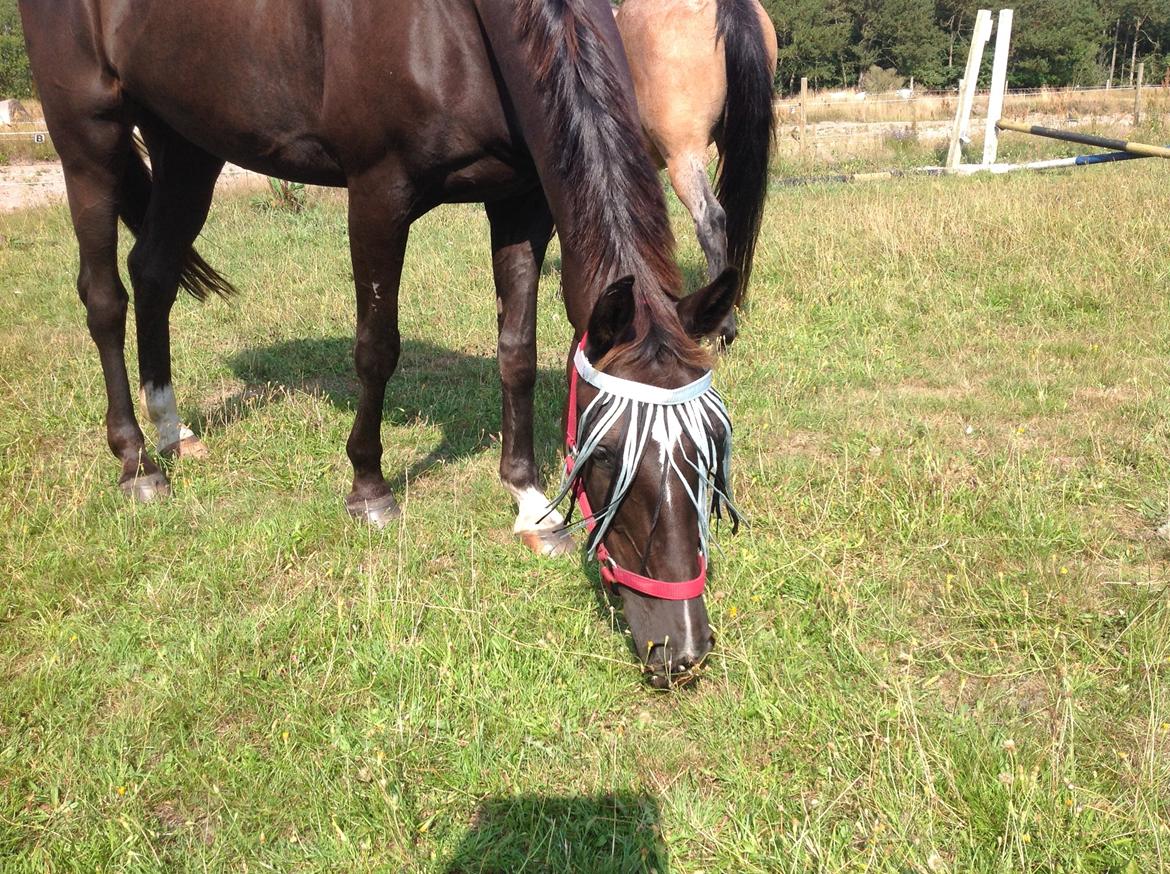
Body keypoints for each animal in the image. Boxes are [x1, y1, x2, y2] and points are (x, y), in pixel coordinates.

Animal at [18, 0, 739, 683]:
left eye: (711, 447)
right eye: (607, 453)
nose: (683, 648)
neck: (460, 24)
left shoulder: (521, 201)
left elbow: (518, 354)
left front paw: (530, 505)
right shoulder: (377, 193)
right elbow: (376, 349)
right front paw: (369, 489)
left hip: (187, 140)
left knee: (155, 272)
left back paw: (171, 427)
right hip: (88, 133)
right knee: (106, 297)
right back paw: (136, 461)